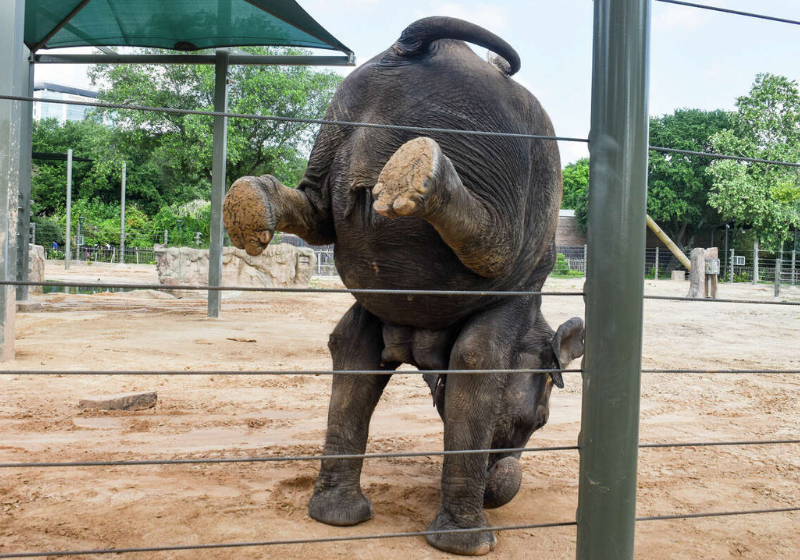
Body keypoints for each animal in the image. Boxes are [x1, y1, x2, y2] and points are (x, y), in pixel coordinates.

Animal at [223, 17, 584, 556]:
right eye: (539, 421)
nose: (498, 487)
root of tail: (414, 43)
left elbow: (354, 353)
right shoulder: (523, 291)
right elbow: (477, 362)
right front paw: (467, 545)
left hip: (338, 122)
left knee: (321, 217)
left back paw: (253, 202)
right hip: (494, 167)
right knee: (495, 243)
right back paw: (422, 173)